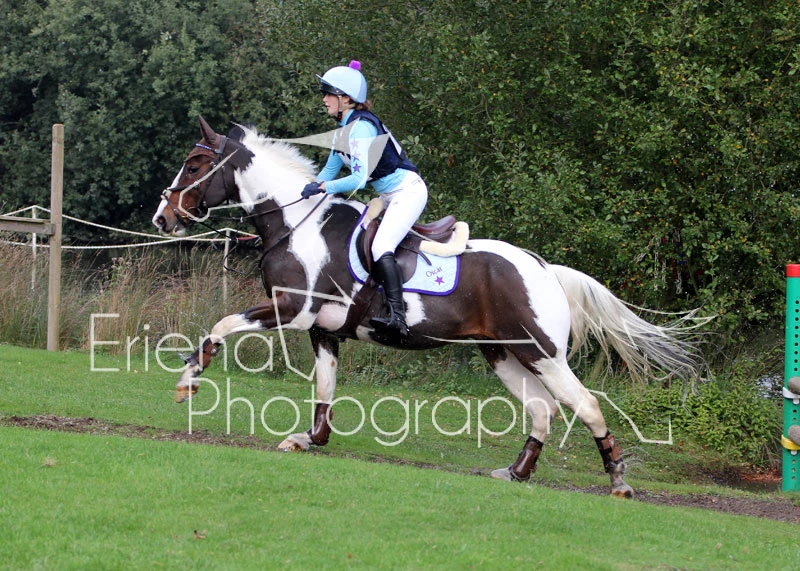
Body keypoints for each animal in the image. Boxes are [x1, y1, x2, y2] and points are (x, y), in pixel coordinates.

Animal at [152, 116, 703, 497]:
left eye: (195, 165)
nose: (162, 217)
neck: (297, 224)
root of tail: (544, 269)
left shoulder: (291, 309)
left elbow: (223, 323)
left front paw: (190, 377)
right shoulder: (322, 328)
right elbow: (325, 388)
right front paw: (310, 439)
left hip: (542, 352)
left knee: (584, 404)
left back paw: (618, 482)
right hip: (501, 352)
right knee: (542, 409)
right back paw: (516, 472)